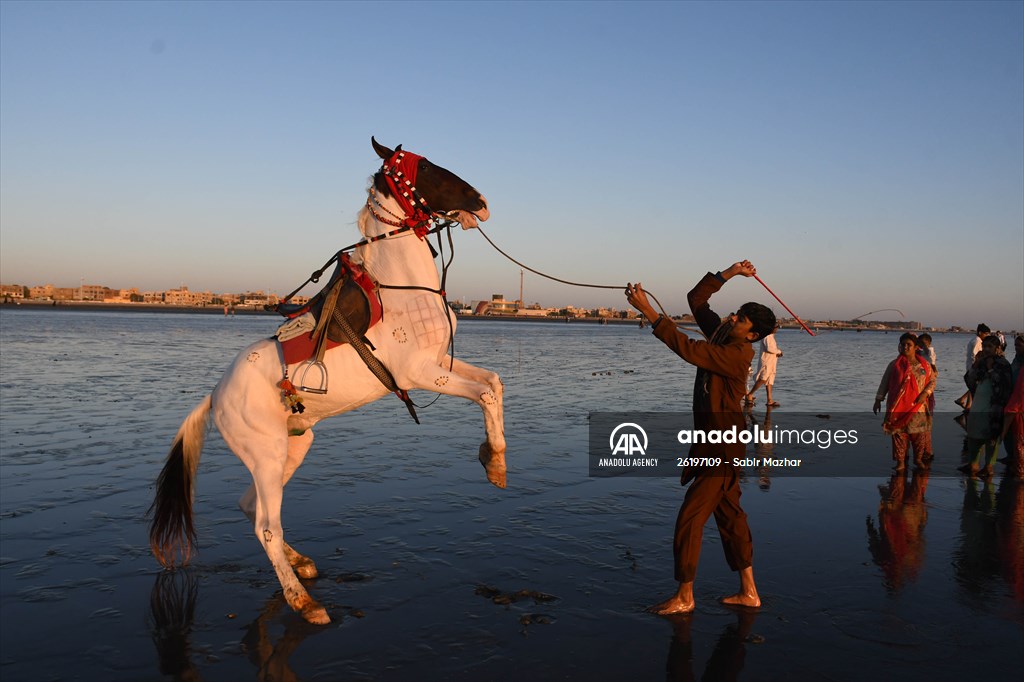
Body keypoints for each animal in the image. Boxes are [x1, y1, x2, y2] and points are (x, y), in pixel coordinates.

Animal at [149, 138, 505, 622]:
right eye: (428, 167)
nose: (481, 201)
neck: (401, 289)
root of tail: (215, 395)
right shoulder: (421, 373)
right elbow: (484, 391)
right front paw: (495, 462)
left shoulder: (441, 363)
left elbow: (494, 383)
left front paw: (493, 459)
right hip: (266, 454)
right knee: (266, 528)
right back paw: (303, 602)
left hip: (293, 445)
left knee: (253, 510)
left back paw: (301, 564)